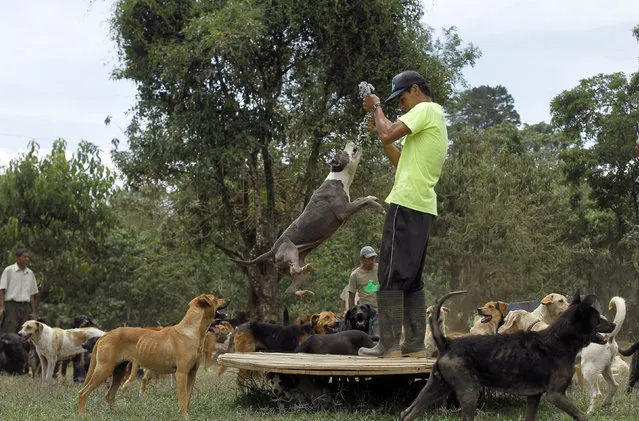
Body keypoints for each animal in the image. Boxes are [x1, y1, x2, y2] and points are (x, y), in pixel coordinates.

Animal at [79, 294, 230, 416]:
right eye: (215, 298)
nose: (228, 300)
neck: (192, 331)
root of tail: (105, 335)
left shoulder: (192, 373)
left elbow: (187, 399)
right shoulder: (181, 374)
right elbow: (183, 399)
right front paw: (185, 416)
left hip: (119, 372)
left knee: (109, 395)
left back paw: (118, 413)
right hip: (104, 369)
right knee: (82, 393)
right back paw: (83, 415)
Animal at [232, 142, 382, 298]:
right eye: (342, 151)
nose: (350, 142)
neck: (339, 178)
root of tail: (272, 250)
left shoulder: (348, 207)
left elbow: (362, 199)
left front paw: (372, 198)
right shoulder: (343, 211)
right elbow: (363, 201)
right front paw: (379, 207)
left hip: (295, 268)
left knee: (290, 288)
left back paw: (305, 292)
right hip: (289, 249)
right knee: (294, 269)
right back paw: (302, 271)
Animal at [402, 288, 616, 420]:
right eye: (598, 318)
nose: (613, 325)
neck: (559, 340)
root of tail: (447, 343)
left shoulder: (534, 396)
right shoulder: (556, 395)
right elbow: (582, 415)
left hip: (435, 387)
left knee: (407, 413)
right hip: (469, 392)